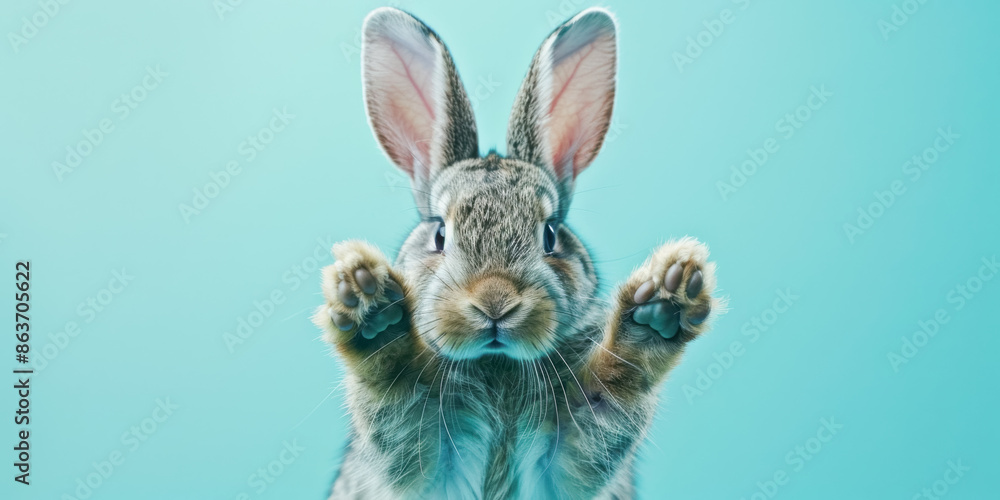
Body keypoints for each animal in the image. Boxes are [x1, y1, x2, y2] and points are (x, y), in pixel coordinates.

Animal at [314, 6, 720, 500]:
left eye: (550, 235)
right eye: (440, 235)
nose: (495, 302)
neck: (497, 365)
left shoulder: (572, 449)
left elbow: (616, 389)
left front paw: (663, 299)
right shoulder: (423, 451)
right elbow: (394, 387)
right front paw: (370, 307)